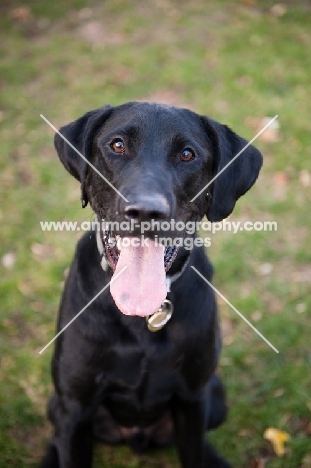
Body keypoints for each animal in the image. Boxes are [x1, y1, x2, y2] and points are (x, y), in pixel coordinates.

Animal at [40, 103, 260, 468]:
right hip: (56, 407)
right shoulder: (74, 406)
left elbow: (194, 452)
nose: (145, 211)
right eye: (117, 145)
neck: (140, 318)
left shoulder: (193, 399)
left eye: (187, 154)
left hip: (215, 399)